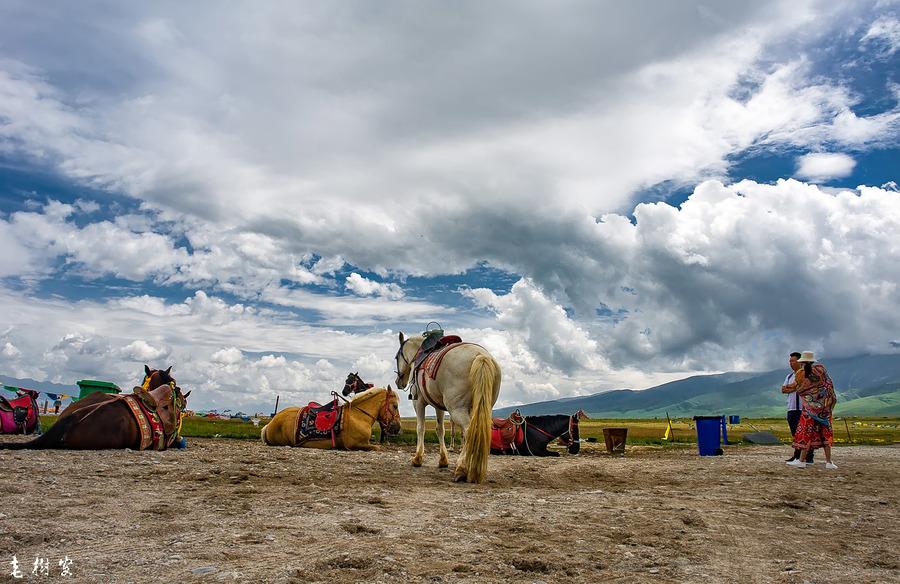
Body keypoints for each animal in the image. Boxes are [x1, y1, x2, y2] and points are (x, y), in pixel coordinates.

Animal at [260, 386, 400, 450]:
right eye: (395, 405)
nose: (397, 428)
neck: (358, 416)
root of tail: (270, 423)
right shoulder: (356, 444)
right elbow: (378, 448)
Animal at [396, 330, 502, 486]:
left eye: (396, 357)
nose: (399, 382)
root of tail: (481, 356)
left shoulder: (418, 402)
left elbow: (420, 428)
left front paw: (417, 458)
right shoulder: (438, 406)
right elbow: (440, 429)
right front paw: (443, 460)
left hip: (456, 409)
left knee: (469, 430)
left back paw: (461, 469)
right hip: (483, 407)